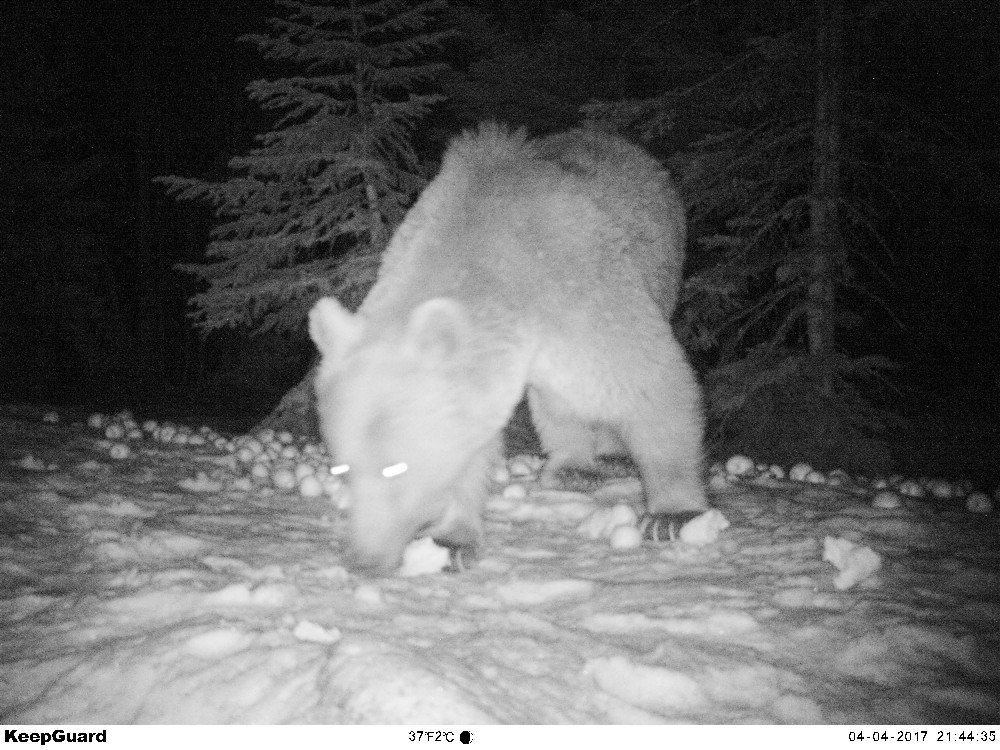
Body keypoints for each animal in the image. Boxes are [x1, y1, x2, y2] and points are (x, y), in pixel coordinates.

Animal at [308, 123, 708, 576]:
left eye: (396, 468)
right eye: (343, 468)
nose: (364, 560)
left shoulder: (582, 292)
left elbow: (649, 379)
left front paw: (672, 515)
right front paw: (452, 540)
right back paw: (572, 466)